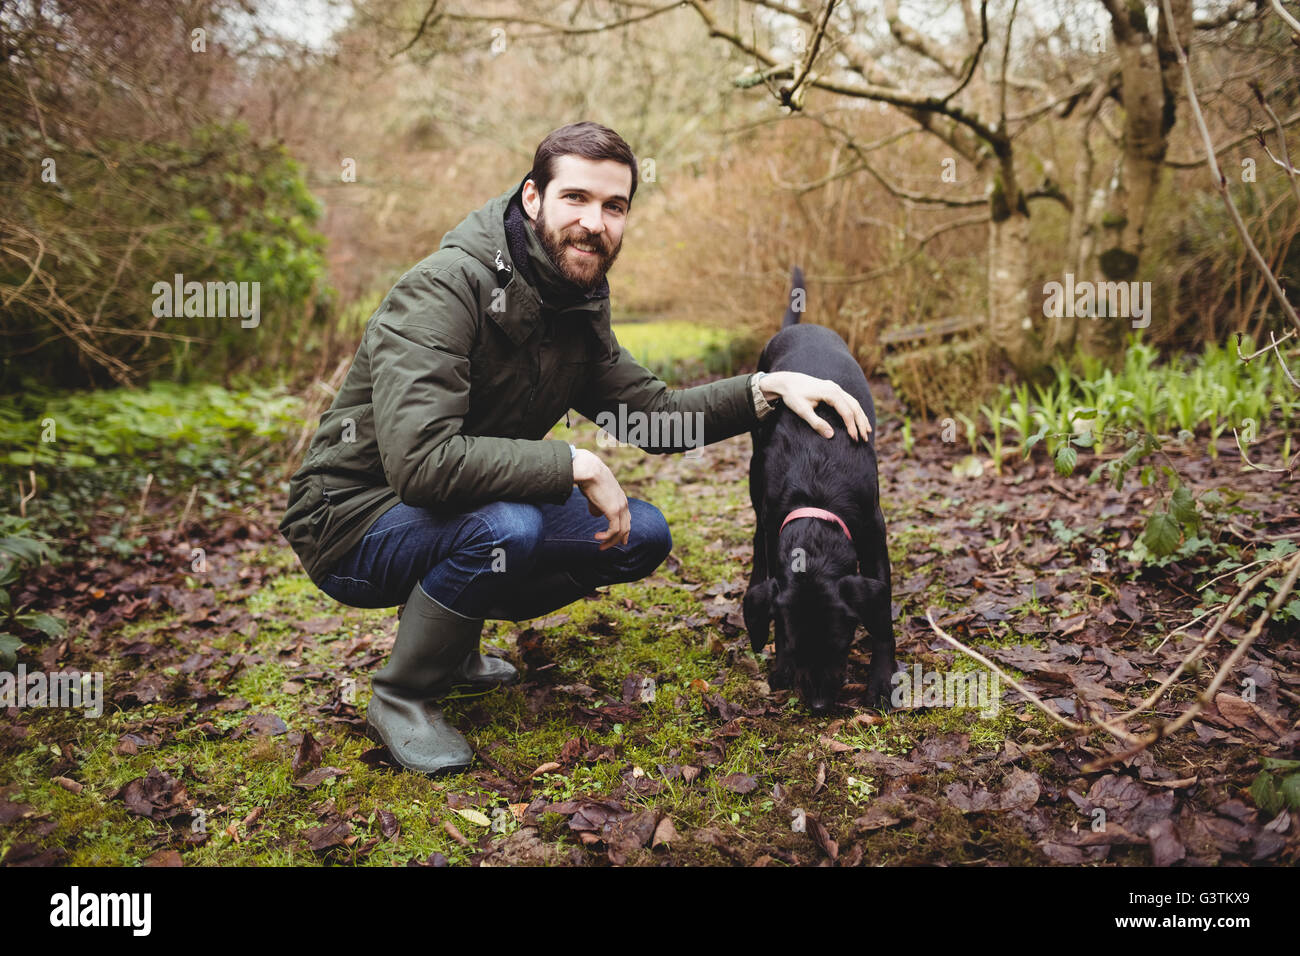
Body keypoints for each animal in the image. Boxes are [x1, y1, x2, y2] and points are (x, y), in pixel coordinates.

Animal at [743, 265, 894, 712]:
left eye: (842, 644)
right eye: (796, 649)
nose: (820, 706)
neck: (816, 497)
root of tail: (801, 325)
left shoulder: (873, 531)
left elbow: (884, 620)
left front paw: (883, 679)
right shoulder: (773, 526)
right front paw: (779, 666)